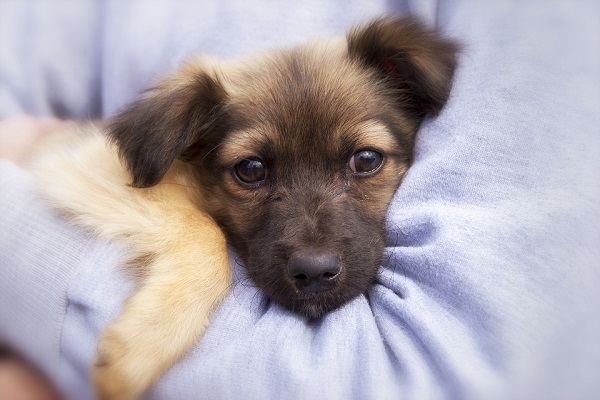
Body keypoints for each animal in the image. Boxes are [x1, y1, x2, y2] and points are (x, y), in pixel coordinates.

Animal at [21, 15, 458, 400]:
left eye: (366, 160)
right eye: (250, 169)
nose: (315, 273)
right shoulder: (80, 163)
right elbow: (204, 231)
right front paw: (149, 338)